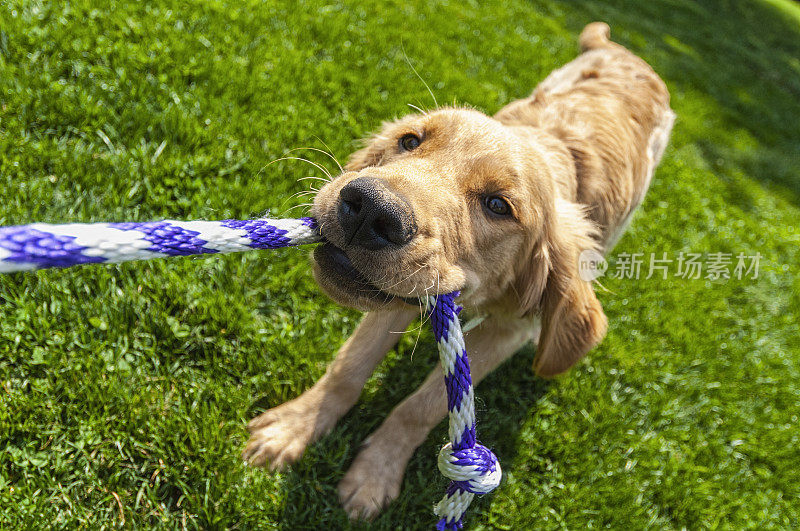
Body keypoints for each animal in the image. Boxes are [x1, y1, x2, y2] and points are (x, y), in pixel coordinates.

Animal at [242, 23, 676, 520]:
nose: (370, 210)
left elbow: (421, 406)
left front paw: (373, 475)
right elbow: (349, 366)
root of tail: (629, 53)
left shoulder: (507, 330)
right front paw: (295, 427)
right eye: (410, 141)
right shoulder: (400, 294)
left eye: (498, 206)